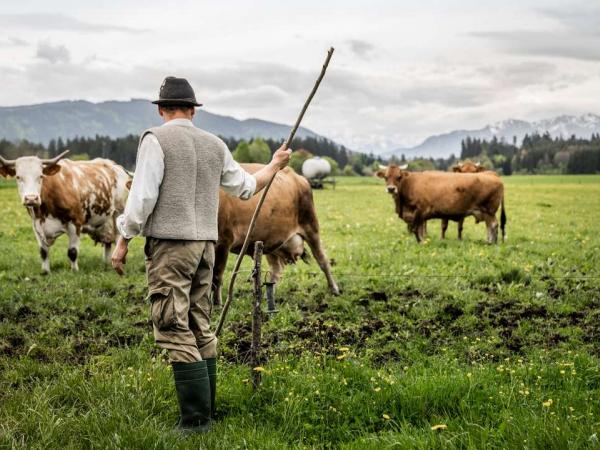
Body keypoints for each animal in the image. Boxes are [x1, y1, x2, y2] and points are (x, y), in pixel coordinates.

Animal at [0, 151, 131, 272]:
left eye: (41, 176)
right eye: (18, 177)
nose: (31, 198)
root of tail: (115, 166)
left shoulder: (75, 222)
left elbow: (72, 252)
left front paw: (74, 271)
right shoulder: (36, 225)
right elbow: (43, 252)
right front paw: (45, 271)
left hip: (119, 211)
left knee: (119, 238)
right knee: (108, 242)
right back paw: (107, 263)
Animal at [213, 163, 340, 308]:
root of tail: (298, 177)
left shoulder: (223, 240)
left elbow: (216, 276)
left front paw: (216, 306)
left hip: (311, 226)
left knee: (322, 259)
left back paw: (334, 289)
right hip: (271, 241)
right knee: (276, 269)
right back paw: (267, 296)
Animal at [376, 164, 506, 244]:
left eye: (398, 177)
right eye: (386, 177)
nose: (391, 189)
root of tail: (492, 174)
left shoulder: (419, 211)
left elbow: (416, 229)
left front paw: (421, 242)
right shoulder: (419, 215)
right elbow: (420, 229)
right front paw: (422, 241)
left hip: (489, 210)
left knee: (493, 225)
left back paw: (491, 242)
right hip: (485, 212)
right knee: (490, 226)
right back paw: (489, 241)